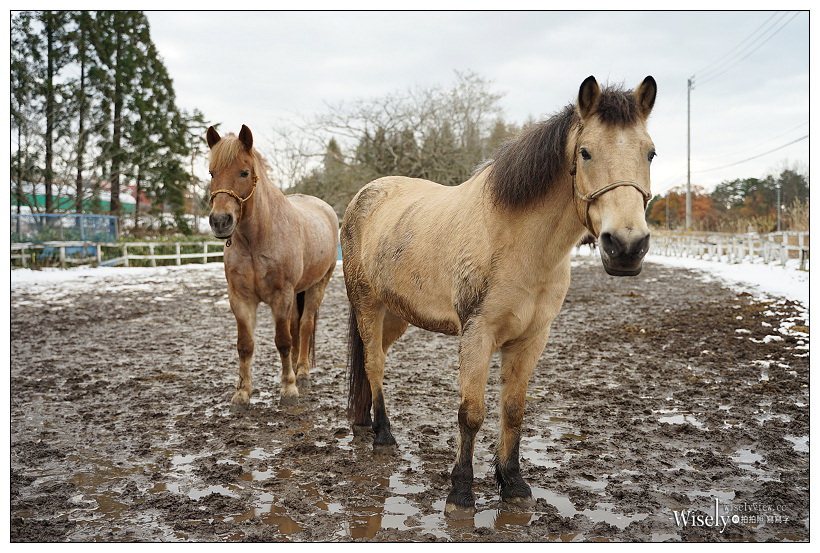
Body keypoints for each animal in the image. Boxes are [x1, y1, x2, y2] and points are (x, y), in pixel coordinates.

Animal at [206, 125, 338, 407]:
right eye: (212, 173)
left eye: (244, 172)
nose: (220, 221)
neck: (256, 241)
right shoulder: (240, 299)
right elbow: (245, 344)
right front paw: (242, 392)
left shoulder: (281, 296)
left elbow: (283, 341)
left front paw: (288, 388)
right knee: (297, 324)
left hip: (317, 285)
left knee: (305, 325)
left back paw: (302, 373)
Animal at [341, 76, 656, 515]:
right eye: (586, 152)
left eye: (651, 153)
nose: (626, 247)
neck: (517, 241)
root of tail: (362, 197)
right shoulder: (478, 335)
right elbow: (471, 413)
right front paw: (460, 493)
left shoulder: (531, 339)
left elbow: (513, 410)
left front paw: (513, 483)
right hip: (368, 306)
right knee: (374, 365)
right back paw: (383, 436)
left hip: (396, 314)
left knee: (376, 364)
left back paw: (365, 422)